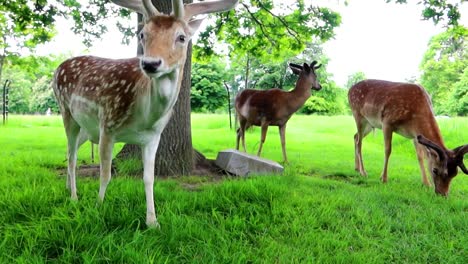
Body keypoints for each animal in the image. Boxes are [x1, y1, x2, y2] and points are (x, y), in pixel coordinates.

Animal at [53, 0, 239, 227]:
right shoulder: (108, 124)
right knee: (71, 157)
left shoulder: (152, 137)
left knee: (69, 152)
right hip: (67, 111)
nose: (150, 63)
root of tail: (57, 68)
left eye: (182, 37)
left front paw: (152, 221)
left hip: (87, 130)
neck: (144, 116)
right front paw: (98, 206)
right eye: (142, 34)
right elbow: (105, 174)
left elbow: (149, 178)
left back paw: (67, 188)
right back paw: (74, 197)